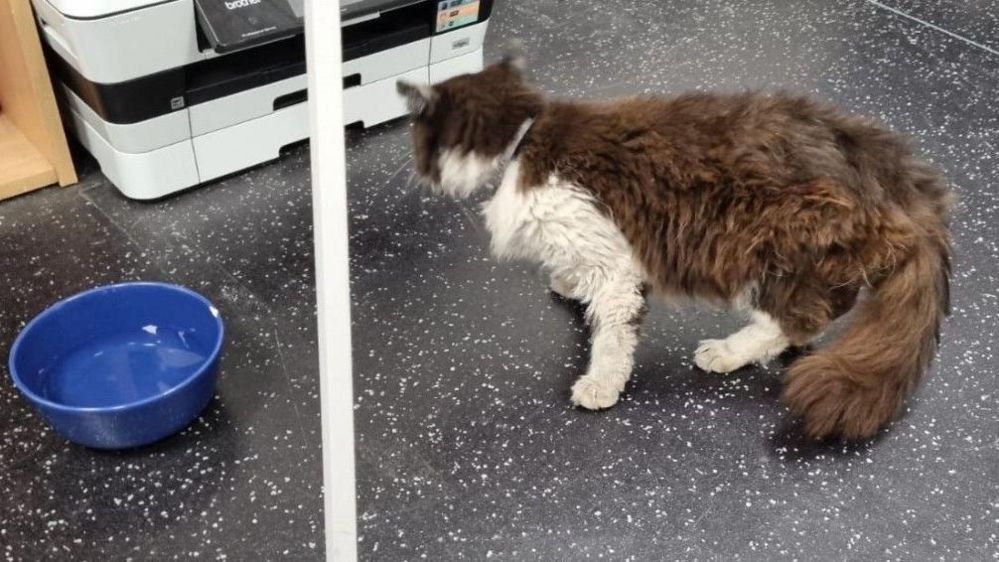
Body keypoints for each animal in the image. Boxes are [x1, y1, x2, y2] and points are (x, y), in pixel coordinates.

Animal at [398, 48, 952, 440]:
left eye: (420, 141)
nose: (417, 172)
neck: (524, 141)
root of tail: (892, 170)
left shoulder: (615, 262)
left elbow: (612, 338)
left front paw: (600, 385)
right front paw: (568, 282)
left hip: (763, 246)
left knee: (801, 318)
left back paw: (727, 352)